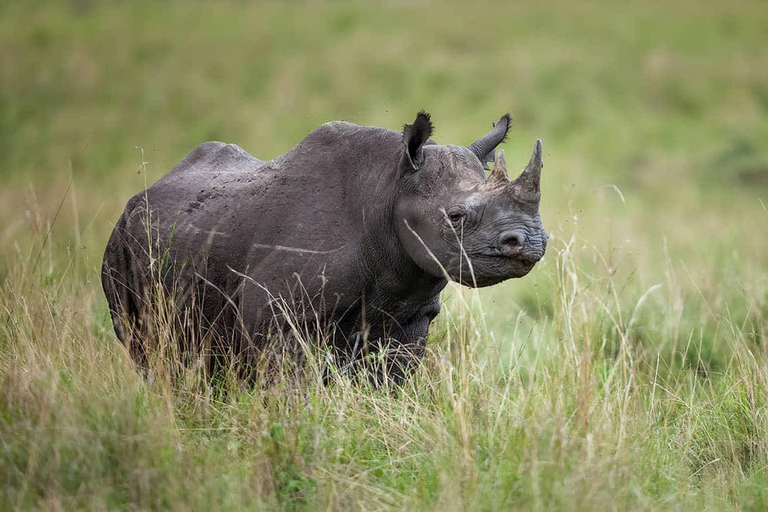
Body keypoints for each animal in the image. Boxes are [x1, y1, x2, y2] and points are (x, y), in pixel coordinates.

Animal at [102, 113, 544, 384]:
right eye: (455, 216)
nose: (532, 241)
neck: (389, 188)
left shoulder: (411, 314)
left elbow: (390, 381)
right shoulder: (275, 311)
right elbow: (289, 387)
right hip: (120, 245)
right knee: (145, 349)